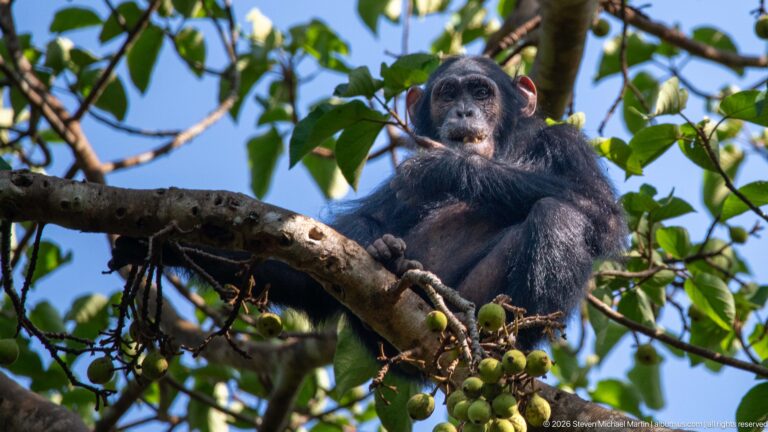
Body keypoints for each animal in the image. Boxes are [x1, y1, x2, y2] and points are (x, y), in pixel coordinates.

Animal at [111, 56, 626, 361]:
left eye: (481, 92)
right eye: (448, 94)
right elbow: (316, 273)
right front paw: (154, 245)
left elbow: (596, 210)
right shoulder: (389, 191)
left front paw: (444, 168)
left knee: (560, 215)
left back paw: (506, 341)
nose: (463, 112)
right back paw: (389, 257)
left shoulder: (565, 142)